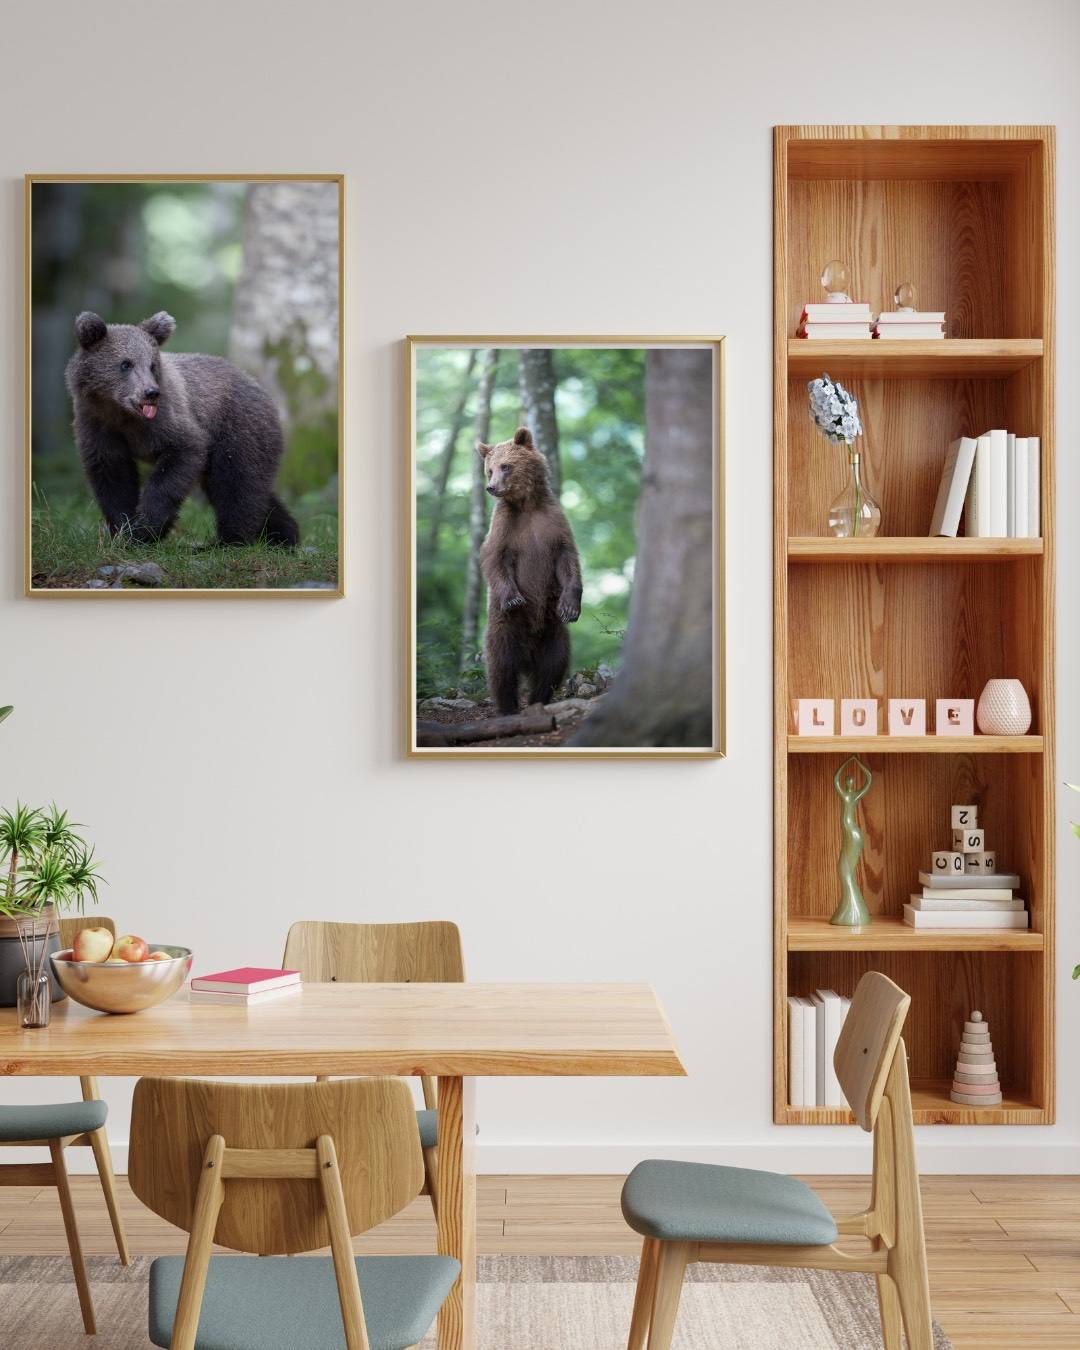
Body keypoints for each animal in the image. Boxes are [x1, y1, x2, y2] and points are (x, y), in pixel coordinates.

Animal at [64, 310, 299, 547]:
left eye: (152, 365)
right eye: (126, 364)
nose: (151, 392)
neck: (121, 414)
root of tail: (261, 390)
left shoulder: (169, 422)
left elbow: (179, 459)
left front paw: (145, 530)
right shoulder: (98, 426)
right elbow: (113, 478)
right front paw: (124, 530)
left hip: (238, 429)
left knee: (237, 485)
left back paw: (228, 541)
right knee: (252, 490)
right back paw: (284, 534)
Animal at [477, 426, 582, 714]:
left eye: (506, 465)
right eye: (489, 469)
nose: (491, 487)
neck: (527, 505)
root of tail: (527, 656)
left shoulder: (552, 524)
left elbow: (568, 561)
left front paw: (570, 606)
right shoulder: (505, 528)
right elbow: (495, 559)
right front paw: (514, 598)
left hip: (552, 629)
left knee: (553, 665)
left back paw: (539, 700)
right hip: (505, 626)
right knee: (501, 666)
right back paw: (508, 707)